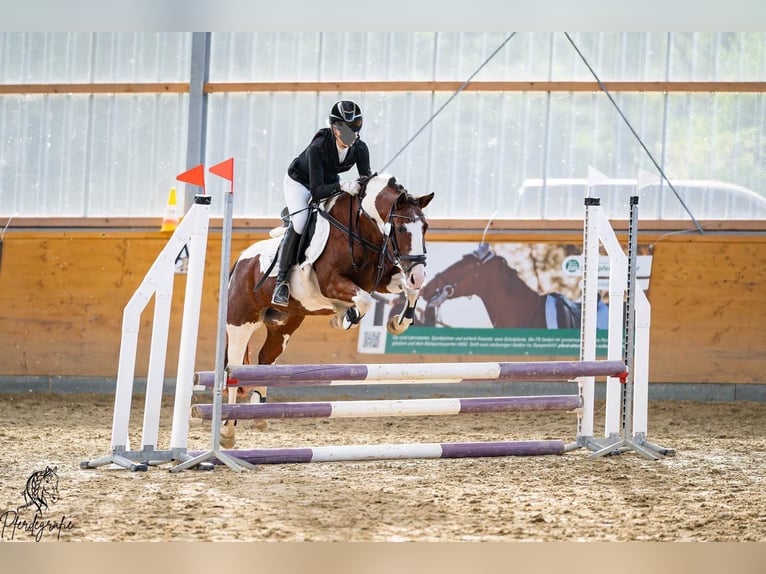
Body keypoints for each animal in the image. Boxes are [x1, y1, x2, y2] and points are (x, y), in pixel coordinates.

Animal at [225, 176, 436, 450]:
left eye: (425, 227)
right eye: (400, 229)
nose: (418, 273)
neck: (362, 229)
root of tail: (241, 261)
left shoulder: (382, 280)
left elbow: (409, 290)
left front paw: (398, 323)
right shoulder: (331, 282)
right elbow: (364, 300)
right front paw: (344, 318)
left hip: (282, 326)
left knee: (265, 360)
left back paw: (258, 414)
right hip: (240, 322)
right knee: (234, 367)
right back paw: (227, 430)